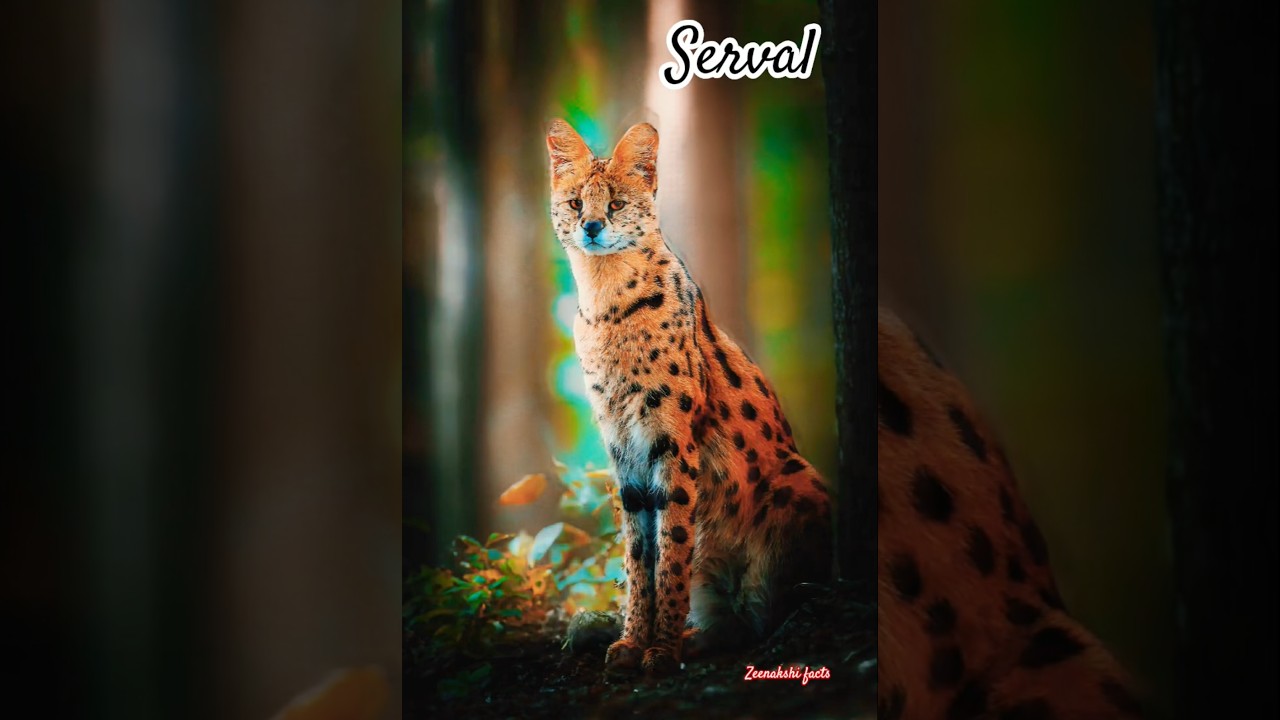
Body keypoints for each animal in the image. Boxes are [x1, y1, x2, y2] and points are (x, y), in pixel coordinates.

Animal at [544, 118, 834, 678]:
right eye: (575, 203)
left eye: (615, 203)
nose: (591, 227)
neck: (603, 299)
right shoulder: (620, 443)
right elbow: (639, 551)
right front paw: (634, 642)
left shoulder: (671, 438)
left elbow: (673, 544)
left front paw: (659, 650)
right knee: (739, 620)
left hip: (802, 479)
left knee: (768, 610)